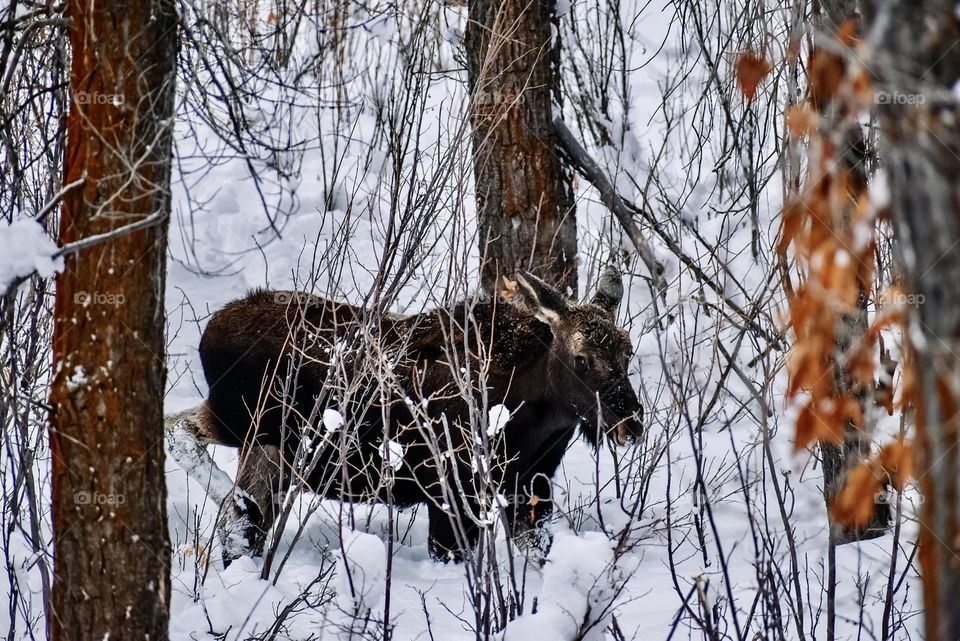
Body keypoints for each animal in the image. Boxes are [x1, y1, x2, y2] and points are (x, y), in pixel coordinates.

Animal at [167, 268, 644, 560]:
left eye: (627, 352)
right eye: (582, 358)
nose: (632, 423)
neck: (534, 414)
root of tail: (209, 332)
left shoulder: (530, 488)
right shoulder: (453, 492)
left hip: (265, 443)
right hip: (245, 420)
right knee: (180, 434)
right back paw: (237, 509)